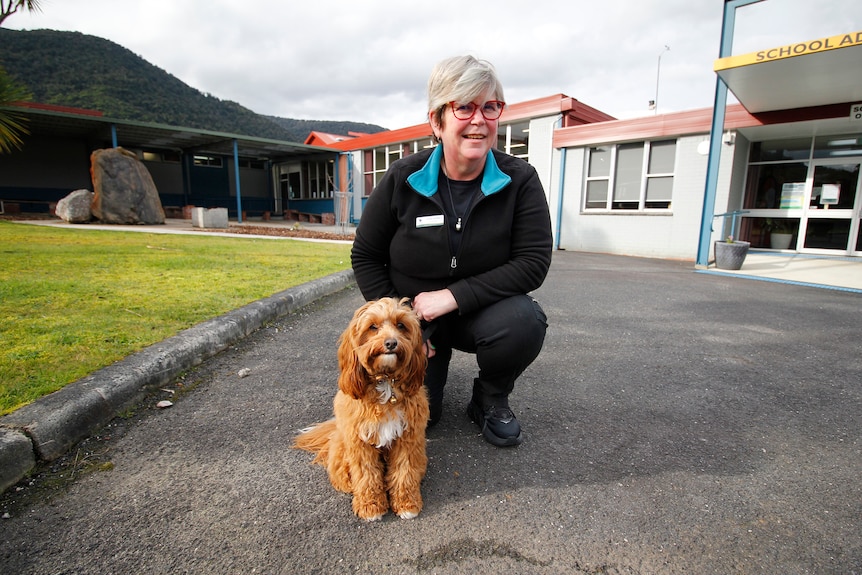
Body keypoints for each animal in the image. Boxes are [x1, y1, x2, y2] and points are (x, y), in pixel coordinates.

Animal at [296, 296, 430, 520]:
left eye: (401, 325)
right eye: (373, 327)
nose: (391, 343)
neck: (385, 381)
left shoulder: (407, 439)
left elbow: (404, 472)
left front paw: (407, 503)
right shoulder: (360, 442)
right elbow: (367, 475)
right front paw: (371, 506)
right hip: (343, 448)